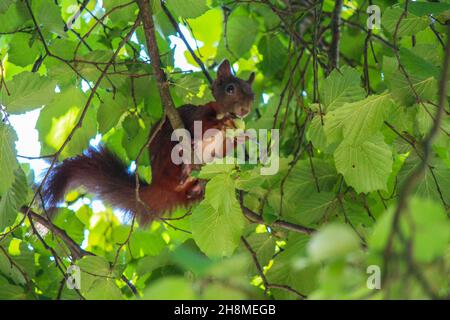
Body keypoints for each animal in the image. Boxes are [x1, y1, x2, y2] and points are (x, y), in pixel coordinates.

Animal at [42, 60, 255, 225]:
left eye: (252, 95)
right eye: (230, 89)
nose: (245, 110)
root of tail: (159, 185)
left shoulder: (220, 145)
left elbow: (224, 148)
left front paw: (242, 136)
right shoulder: (196, 115)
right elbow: (202, 127)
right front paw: (223, 124)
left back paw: (196, 186)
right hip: (167, 150)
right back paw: (185, 168)